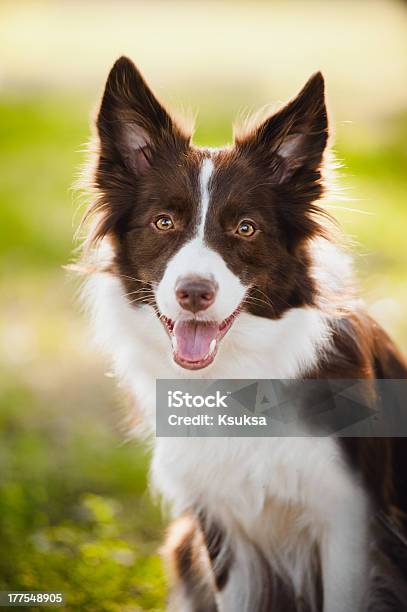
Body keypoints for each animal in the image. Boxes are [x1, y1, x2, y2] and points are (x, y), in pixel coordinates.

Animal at [79, 56, 407, 608]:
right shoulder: (219, 523)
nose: (194, 293)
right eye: (163, 222)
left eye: (245, 228)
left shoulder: (347, 524)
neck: (234, 377)